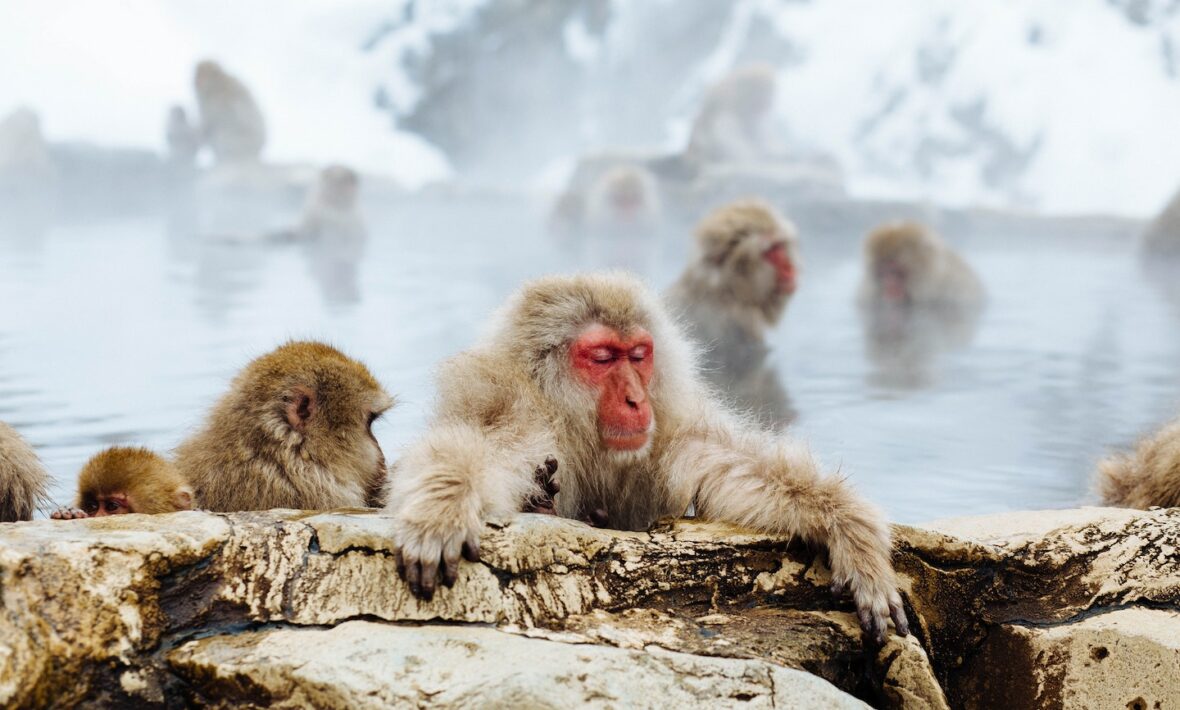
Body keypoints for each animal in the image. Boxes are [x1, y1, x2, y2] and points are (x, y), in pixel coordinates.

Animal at [391, 271, 906, 641]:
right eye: (602, 357)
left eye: (638, 355)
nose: (637, 400)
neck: (573, 424)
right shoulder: (513, 410)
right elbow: (478, 449)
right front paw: (443, 506)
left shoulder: (668, 429)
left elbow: (730, 468)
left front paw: (849, 531)